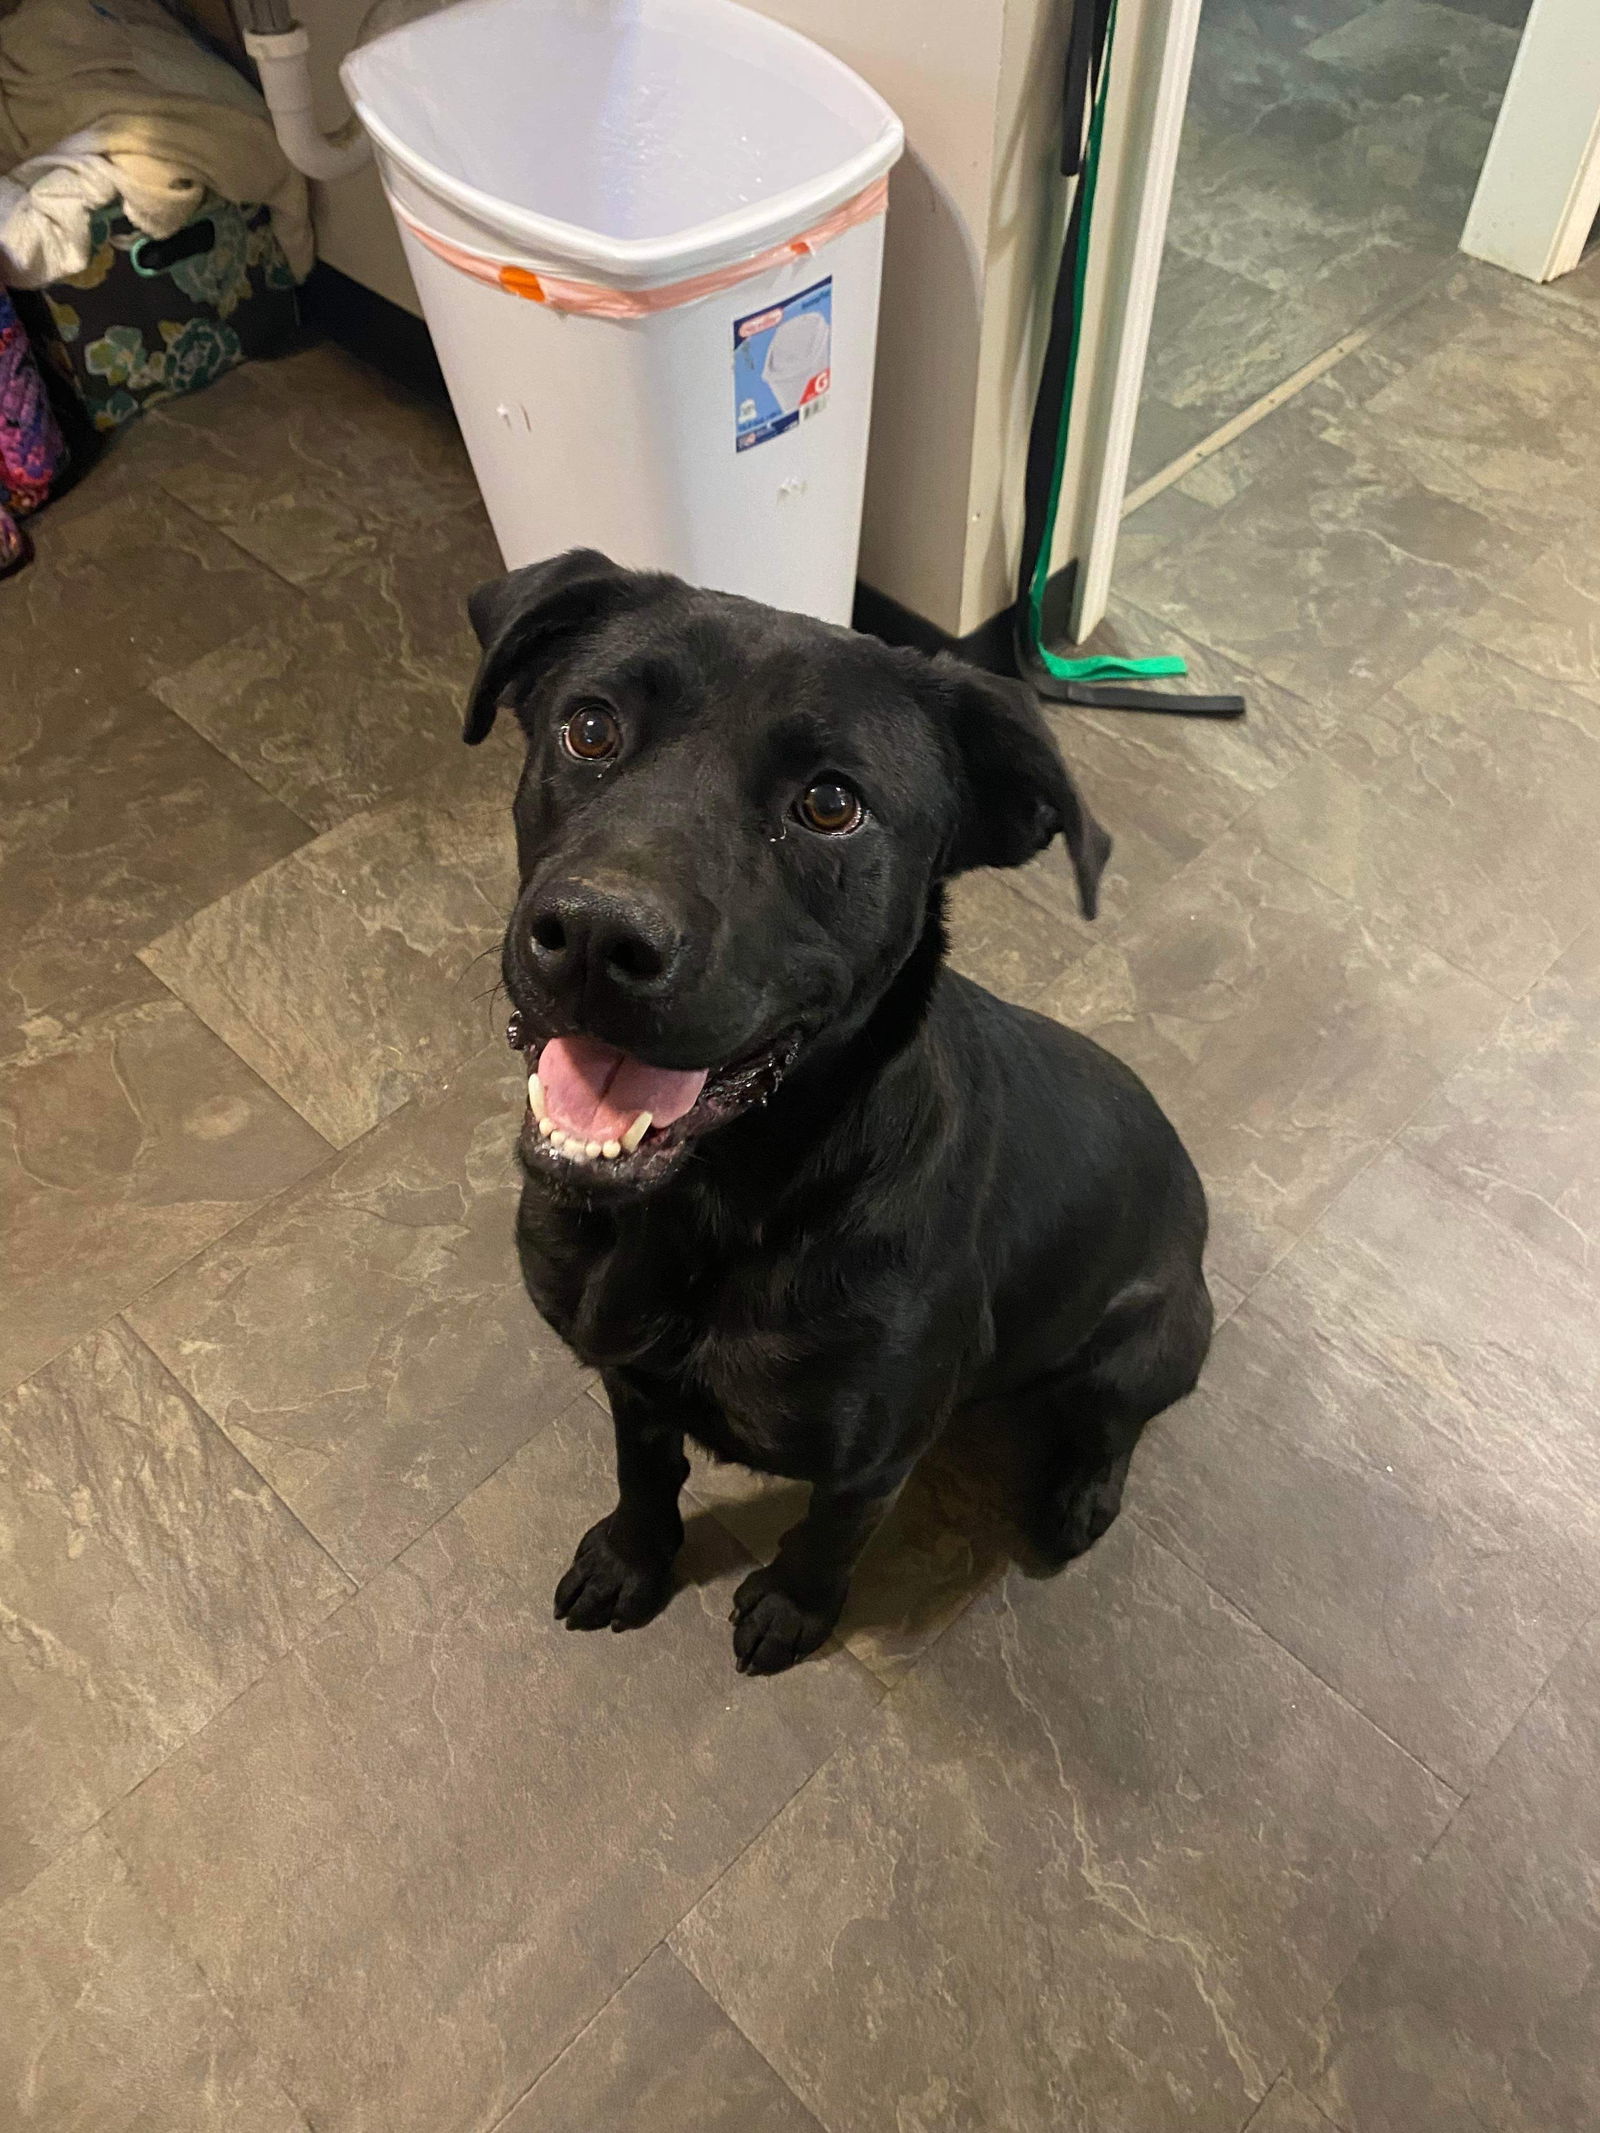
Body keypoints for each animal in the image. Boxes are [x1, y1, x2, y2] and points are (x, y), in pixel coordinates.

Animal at [467, 546, 1211, 1663]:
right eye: (589, 728)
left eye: (830, 803)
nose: (595, 936)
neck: (709, 1212)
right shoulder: (629, 1382)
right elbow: (645, 1471)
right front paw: (632, 1558)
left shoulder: (874, 1454)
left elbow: (826, 1536)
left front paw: (791, 1609)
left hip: (1153, 1342)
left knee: (1115, 1421)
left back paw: (1082, 1493)